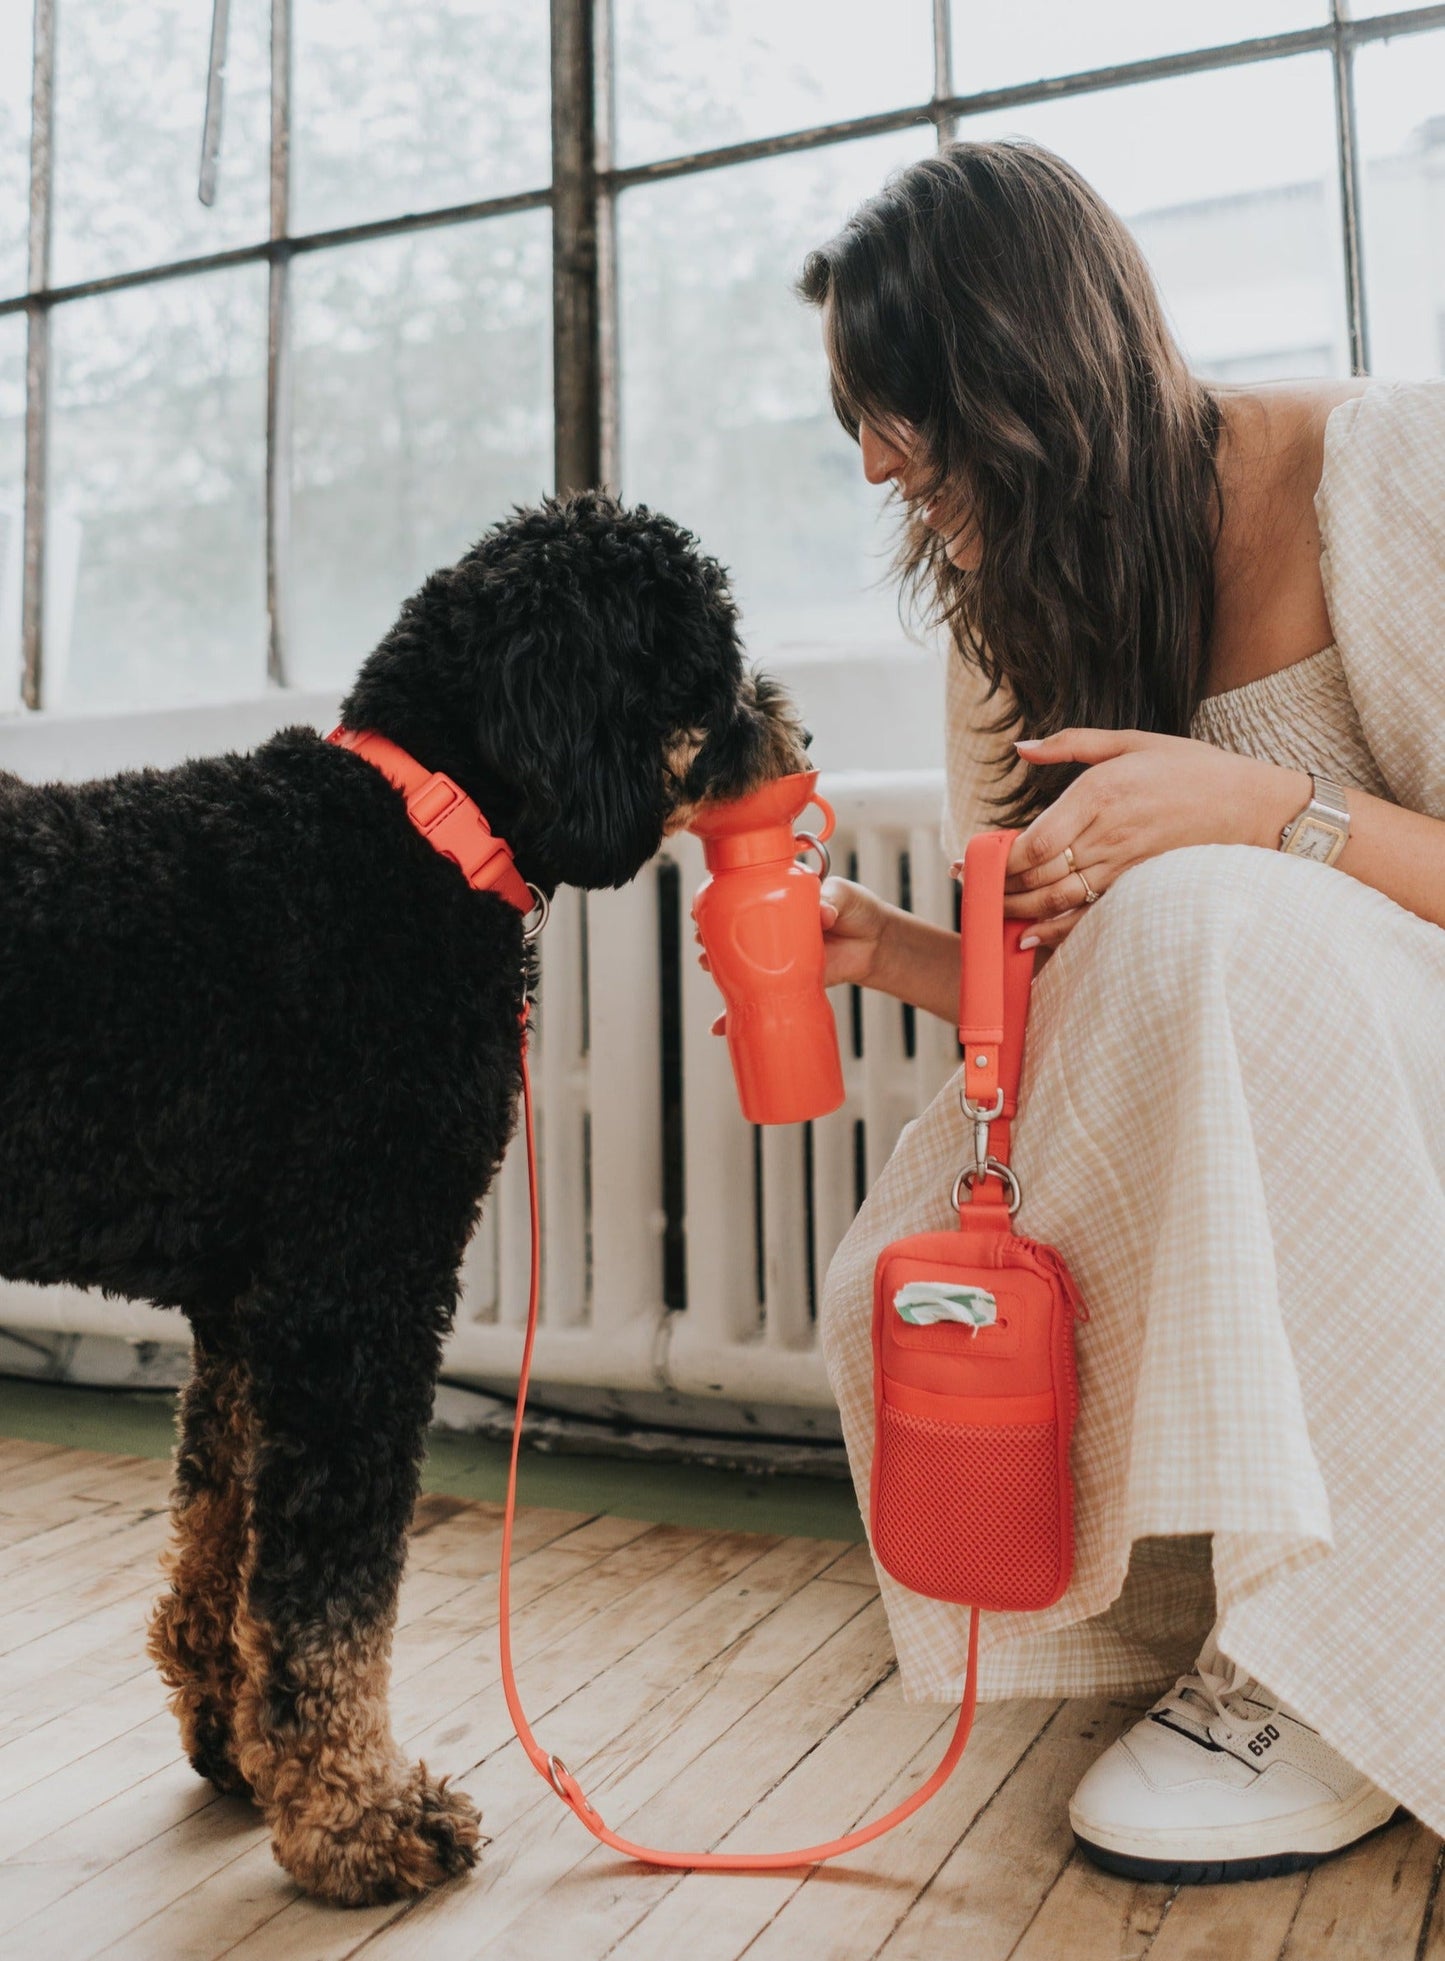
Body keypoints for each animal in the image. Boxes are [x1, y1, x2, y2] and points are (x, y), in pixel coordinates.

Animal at [0, 490, 807, 1898]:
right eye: (705, 661)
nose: (793, 731)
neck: (422, 827)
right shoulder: (356, 1290)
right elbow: (334, 1592)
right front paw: (358, 1815)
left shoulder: (248, 1310)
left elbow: (223, 1536)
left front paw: (230, 1736)